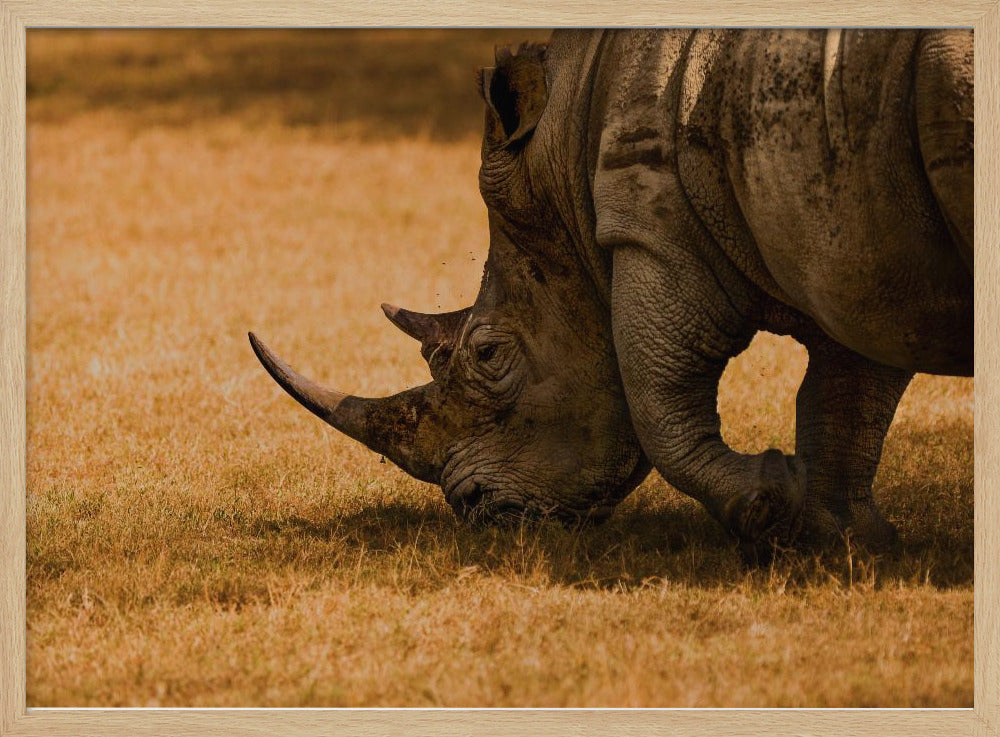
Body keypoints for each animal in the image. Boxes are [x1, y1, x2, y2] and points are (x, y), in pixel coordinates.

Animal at [250, 29, 973, 557]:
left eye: (487, 354)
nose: (476, 510)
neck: (563, 148)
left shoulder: (650, 224)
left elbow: (657, 395)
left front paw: (771, 509)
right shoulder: (851, 240)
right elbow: (848, 391)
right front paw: (842, 540)